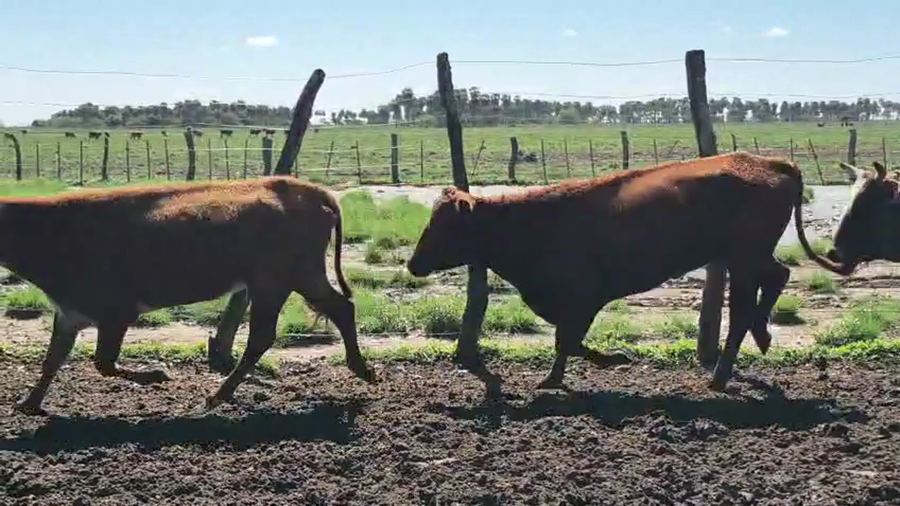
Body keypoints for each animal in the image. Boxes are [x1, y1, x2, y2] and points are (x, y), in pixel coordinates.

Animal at [8, 176, 376, 416]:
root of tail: (314, 192)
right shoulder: (69, 313)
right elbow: (53, 359)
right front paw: (29, 404)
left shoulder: (116, 312)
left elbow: (103, 363)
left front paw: (158, 374)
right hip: (298, 276)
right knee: (339, 308)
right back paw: (361, 369)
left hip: (278, 279)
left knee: (263, 336)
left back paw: (217, 396)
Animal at [406, 152, 832, 392]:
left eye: (444, 227)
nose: (412, 263)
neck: (532, 225)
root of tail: (773, 162)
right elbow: (566, 342)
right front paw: (560, 377)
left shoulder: (582, 298)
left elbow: (567, 341)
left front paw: (610, 361)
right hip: (747, 257)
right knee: (776, 279)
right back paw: (761, 338)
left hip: (744, 257)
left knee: (745, 308)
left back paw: (721, 376)